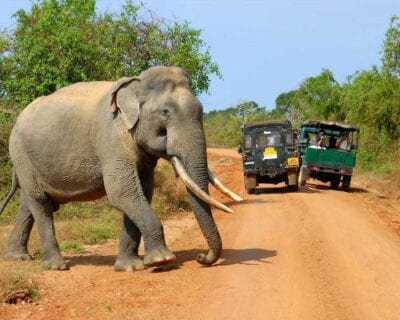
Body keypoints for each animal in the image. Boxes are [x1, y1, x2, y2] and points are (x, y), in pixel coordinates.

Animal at [0, 66, 241, 272]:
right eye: (165, 112)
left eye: (202, 110)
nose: (202, 257)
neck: (135, 85)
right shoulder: (111, 139)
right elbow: (122, 193)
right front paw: (162, 260)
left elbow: (141, 192)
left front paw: (130, 267)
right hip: (20, 153)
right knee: (41, 203)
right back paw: (57, 266)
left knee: (29, 202)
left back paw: (18, 257)